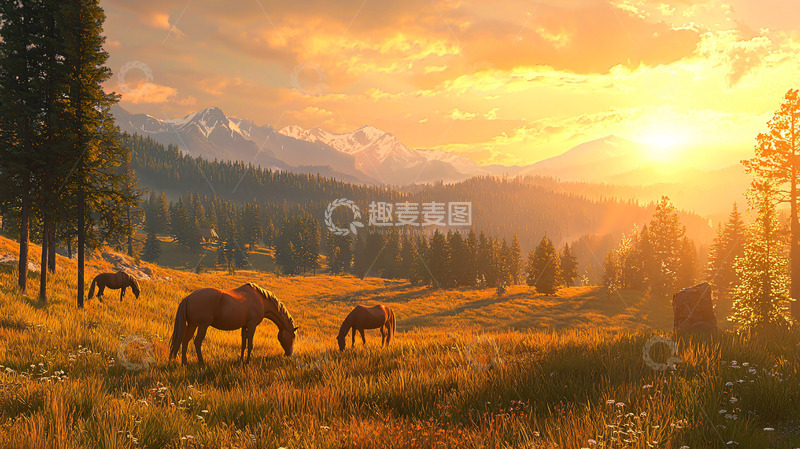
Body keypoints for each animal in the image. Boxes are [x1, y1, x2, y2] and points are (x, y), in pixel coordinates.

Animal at [168, 283, 298, 365]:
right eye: (292, 337)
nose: (289, 353)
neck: (260, 300)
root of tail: (189, 297)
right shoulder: (252, 326)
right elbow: (250, 344)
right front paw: (247, 362)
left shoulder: (244, 326)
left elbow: (243, 344)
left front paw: (241, 360)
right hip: (202, 326)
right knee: (197, 342)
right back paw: (201, 363)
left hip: (192, 325)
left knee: (185, 340)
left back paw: (184, 362)